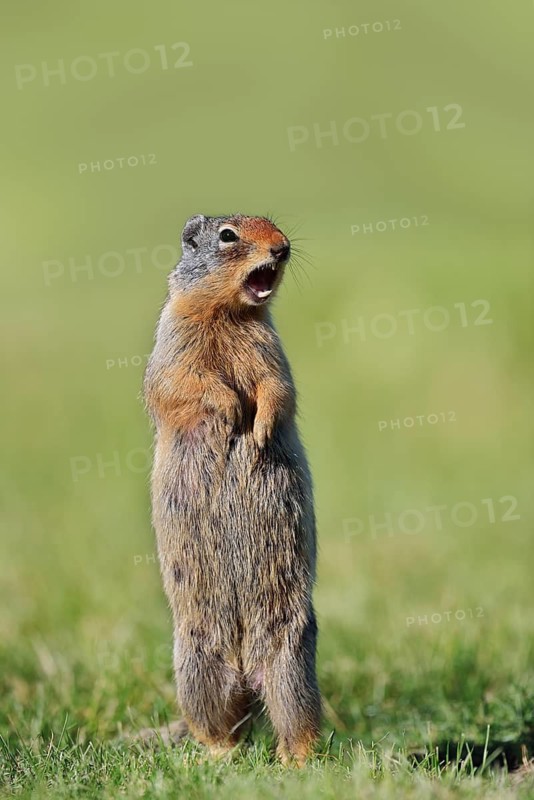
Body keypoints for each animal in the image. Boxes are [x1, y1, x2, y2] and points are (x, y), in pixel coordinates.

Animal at [143, 213, 321, 765]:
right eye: (227, 235)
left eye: (275, 225)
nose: (282, 248)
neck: (230, 314)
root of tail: (245, 671)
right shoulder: (174, 340)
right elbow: (185, 383)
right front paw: (226, 413)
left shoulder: (270, 347)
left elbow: (277, 386)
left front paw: (258, 431)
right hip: (197, 663)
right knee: (218, 725)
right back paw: (219, 754)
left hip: (290, 662)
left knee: (294, 717)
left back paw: (298, 760)